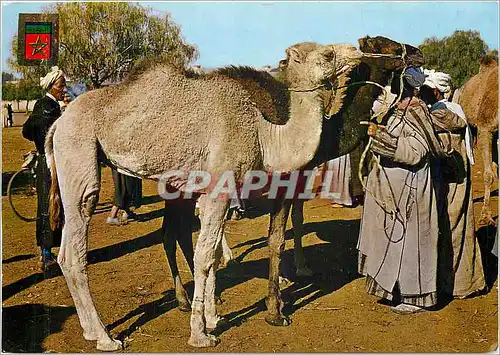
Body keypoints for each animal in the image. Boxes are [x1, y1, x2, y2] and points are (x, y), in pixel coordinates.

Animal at [45, 41, 364, 350]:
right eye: (327, 53)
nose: (356, 50)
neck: (264, 133)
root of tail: (58, 124)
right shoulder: (219, 187)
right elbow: (205, 256)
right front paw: (201, 334)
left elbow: (210, 253)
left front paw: (213, 317)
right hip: (79, 152)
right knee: (77, 244)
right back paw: (106, 338)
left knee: (67, 250)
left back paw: (90, 330)